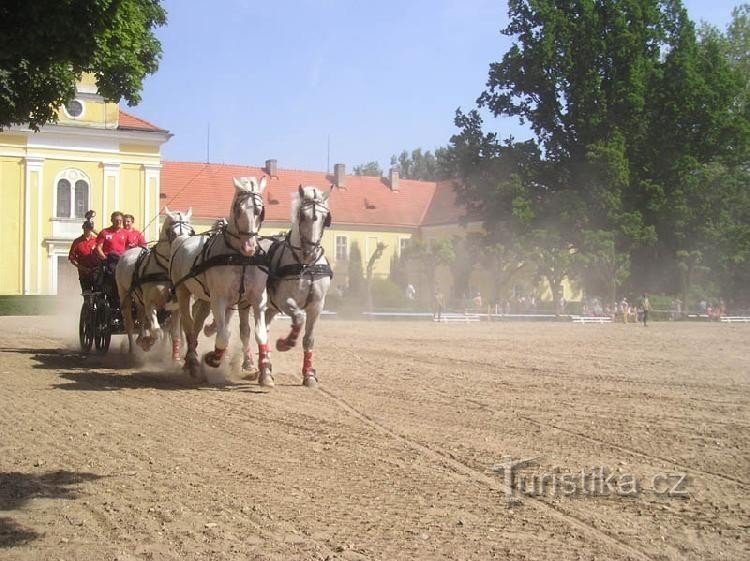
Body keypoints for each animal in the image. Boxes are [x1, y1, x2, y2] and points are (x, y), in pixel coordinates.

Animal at [115, 207, 194, 358]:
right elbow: (156, 330)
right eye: (173, 233)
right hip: (124, 295)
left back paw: (141, 338)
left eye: (190, 232)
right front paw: (148, 342)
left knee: (141, 317)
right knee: (129, 324)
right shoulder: (150, 303)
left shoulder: (176, 306)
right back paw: (132, 349)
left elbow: (174, 333)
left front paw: (175, 357)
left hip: (139, 299)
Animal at [170, 176, 274, 384]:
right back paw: (192, 362)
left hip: (204, 299)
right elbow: (224, 335)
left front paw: (265, 372)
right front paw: (213, 358)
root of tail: (182, 239)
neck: (240, 258)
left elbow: (259, 334)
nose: (249, 247)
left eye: (259, 211)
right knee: (188, 324)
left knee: (197, 324)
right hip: (183, 291)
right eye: (238, 208)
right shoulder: (219, 299)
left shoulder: (257, 299)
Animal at [266, 184, 334, 384]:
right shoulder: (283, 300)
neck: (306, 265)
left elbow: (309, 338)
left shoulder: (317, 305)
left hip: (270, 308)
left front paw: (309, 374)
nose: (310, 250)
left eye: (325, 218)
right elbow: (298, 318)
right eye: (302, 215)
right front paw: (285, 343)